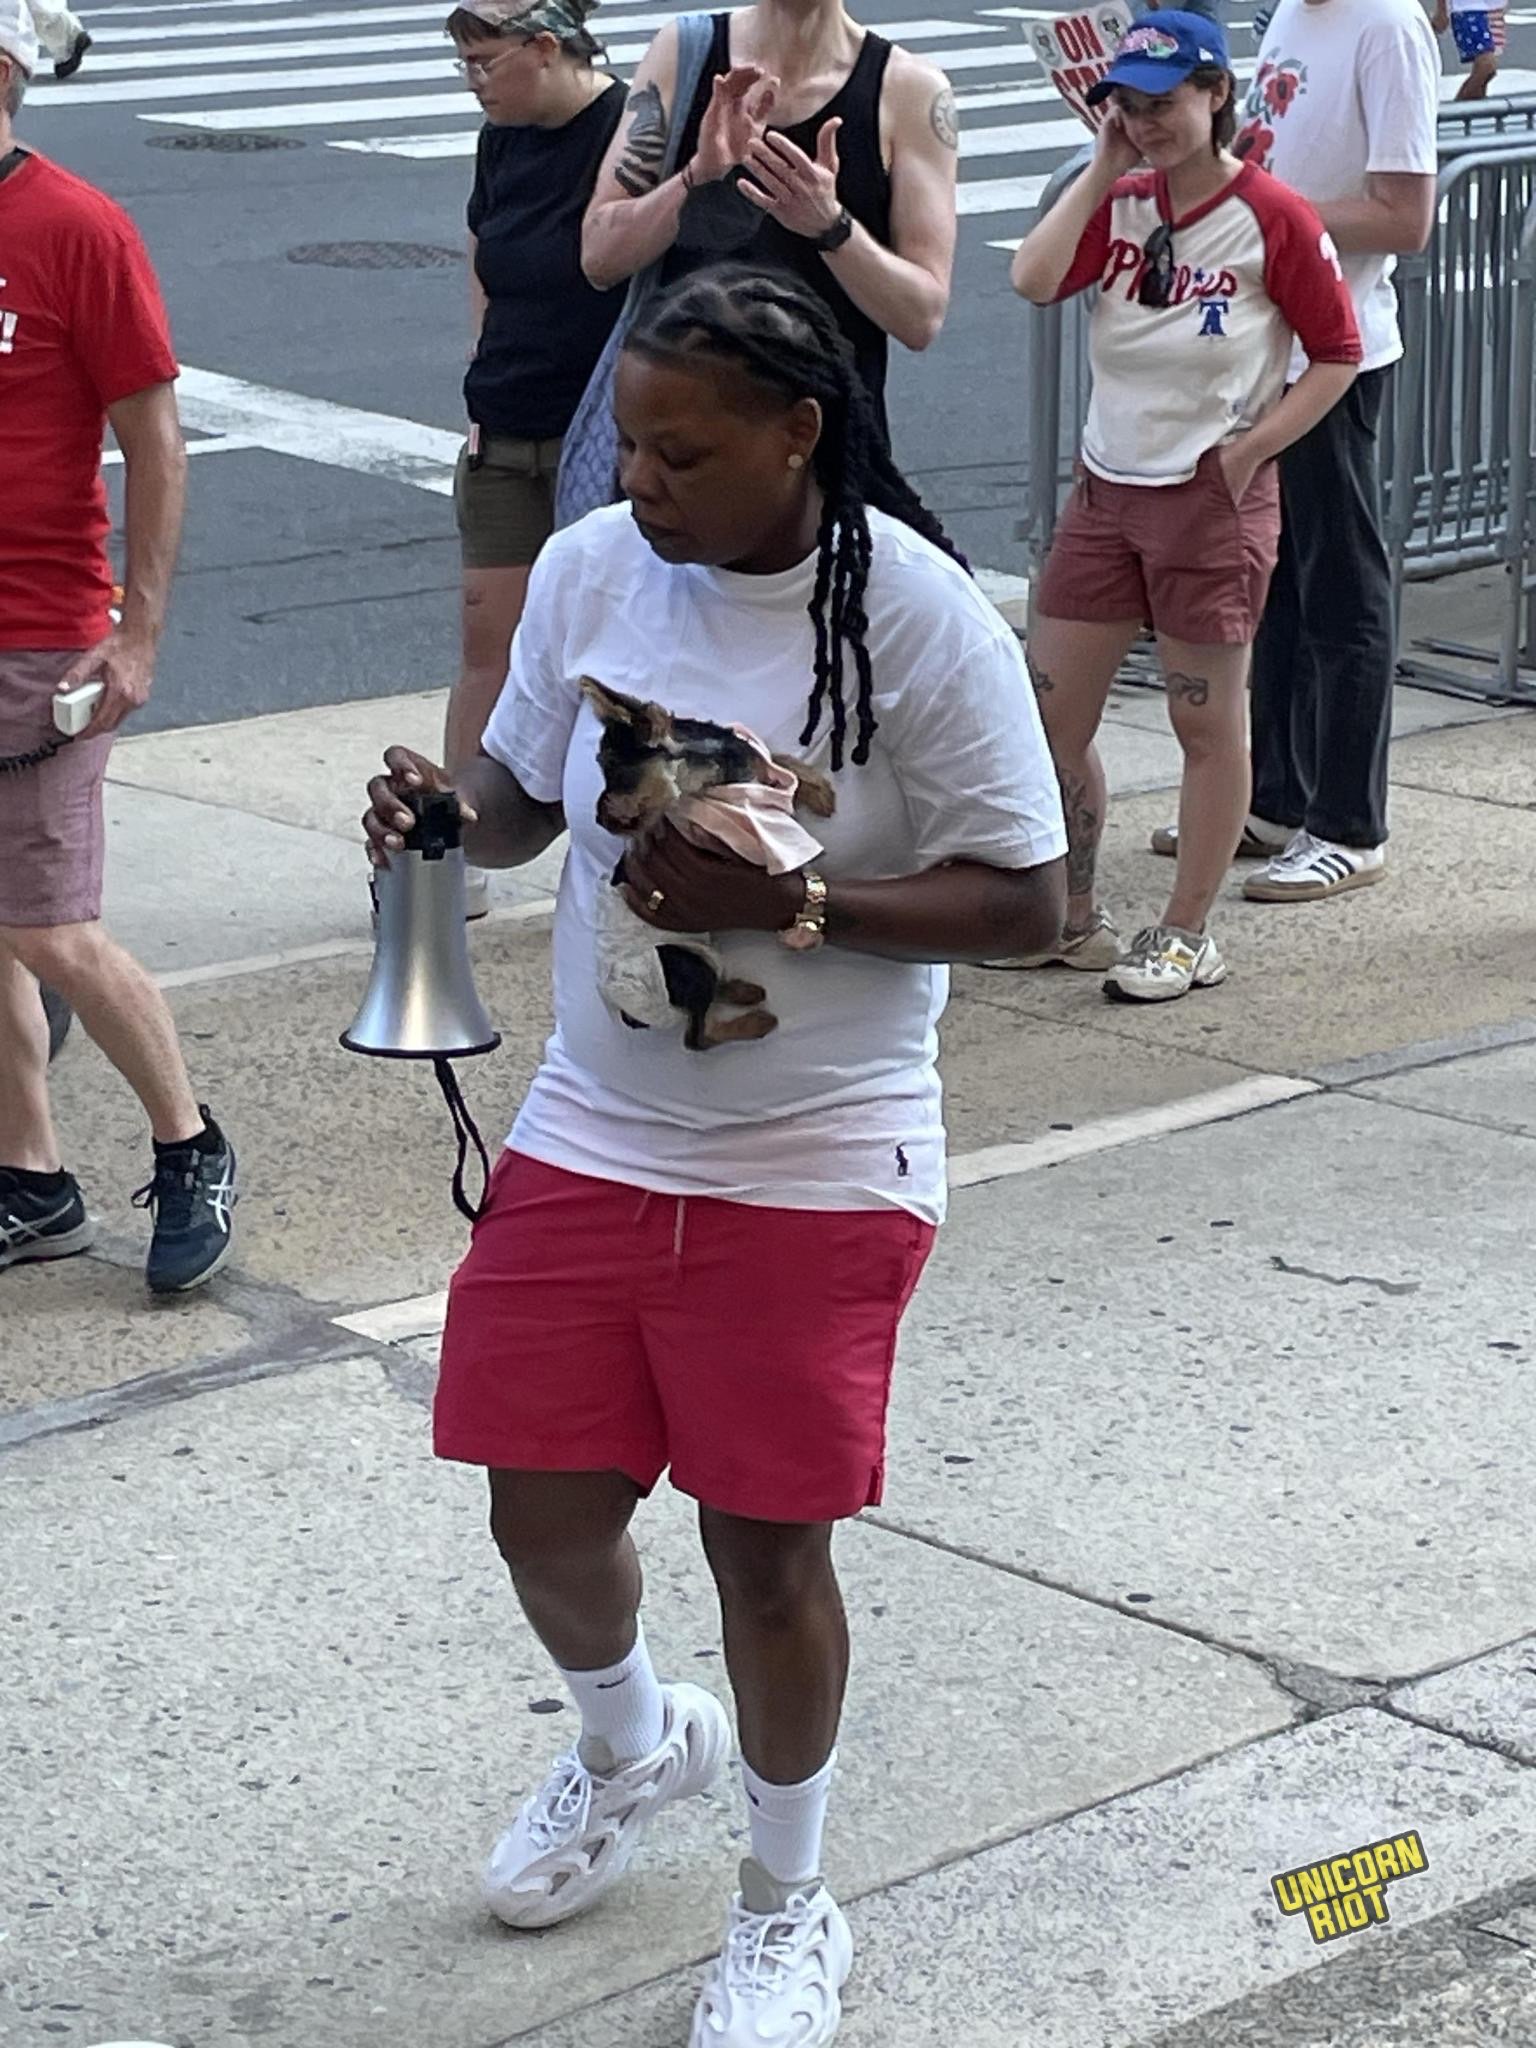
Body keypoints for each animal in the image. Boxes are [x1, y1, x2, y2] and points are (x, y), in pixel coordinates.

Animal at [582, 679, 835, 1051]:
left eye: (614, 769)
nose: (600, 818)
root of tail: (630, 1012)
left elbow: (777, 760)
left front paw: (818, 791)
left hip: (697, 961)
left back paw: (744, 990)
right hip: (684, 966)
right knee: (697, 1036)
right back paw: (756, 1020)